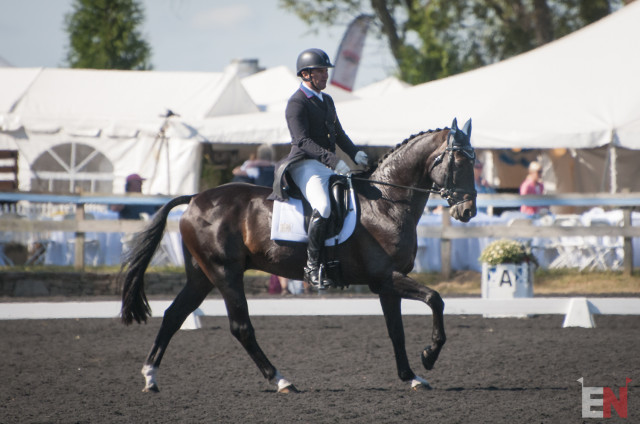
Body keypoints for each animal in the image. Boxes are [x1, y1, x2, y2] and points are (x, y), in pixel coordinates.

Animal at [120, 117, 476, 392]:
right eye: (459, 162)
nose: (468, 211)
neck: (386, 202)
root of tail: (195, 198)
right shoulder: (386, 276)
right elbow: (435, 299)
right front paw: (429, 355)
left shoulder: (387, 283)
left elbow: (396, 331)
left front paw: (411, 376)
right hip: (225, 272)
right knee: (240, 327)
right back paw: (281, 380)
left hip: (201, 275)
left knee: (174, 316)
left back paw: (150, 378)